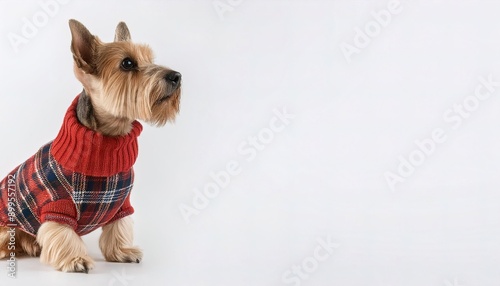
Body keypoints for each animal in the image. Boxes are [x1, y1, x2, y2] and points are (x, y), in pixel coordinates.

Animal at [0, 19, 182, 272]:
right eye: (127, 63)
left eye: (150, 59)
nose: (176, 76)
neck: (107, 142)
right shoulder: (57, 205)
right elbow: (62, 233)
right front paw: (74, 259)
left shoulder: (122, 203)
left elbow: (119, 226)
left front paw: (122, 251)